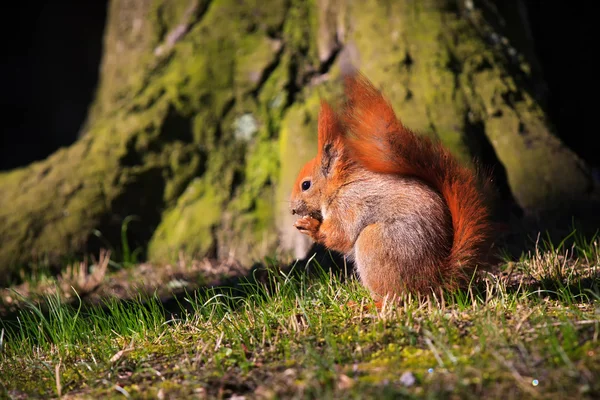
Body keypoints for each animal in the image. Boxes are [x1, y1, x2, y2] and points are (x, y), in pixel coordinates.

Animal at [290, 72, 492, 300]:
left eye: (306, 185)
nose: (293, 209)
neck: (339, 186)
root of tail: (433, 281)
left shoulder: (349, 205)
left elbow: (339, 234)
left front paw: (310, 227)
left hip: (375, 243)